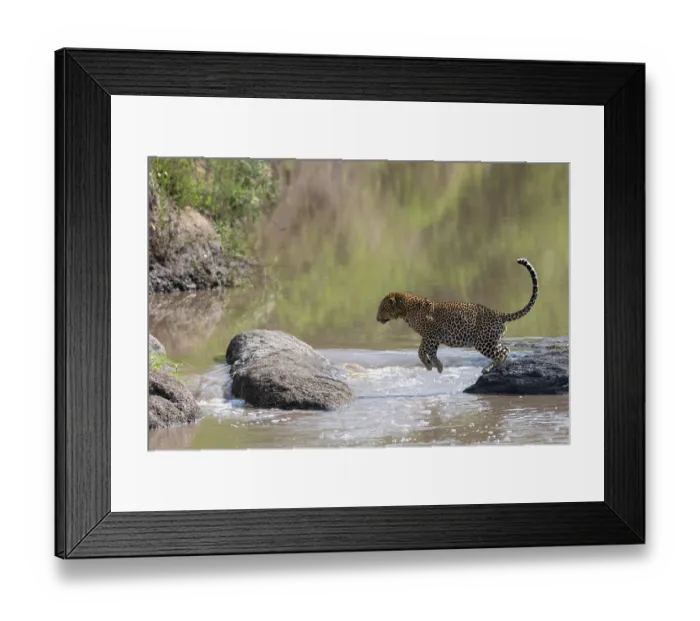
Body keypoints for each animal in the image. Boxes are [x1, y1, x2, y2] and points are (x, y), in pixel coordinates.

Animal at [376, 258, 539, 375]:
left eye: (382, 307)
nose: (377, 318)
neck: (407, 310)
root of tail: (498, 313)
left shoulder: (430, 335)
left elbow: (421, 351)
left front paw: (429, 366)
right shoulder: (433, 338)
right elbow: (431, 353)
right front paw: (438, 366)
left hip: (483, 341)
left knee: (502, 353)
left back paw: (487, 369)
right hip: (492, 339)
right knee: (506, 350)